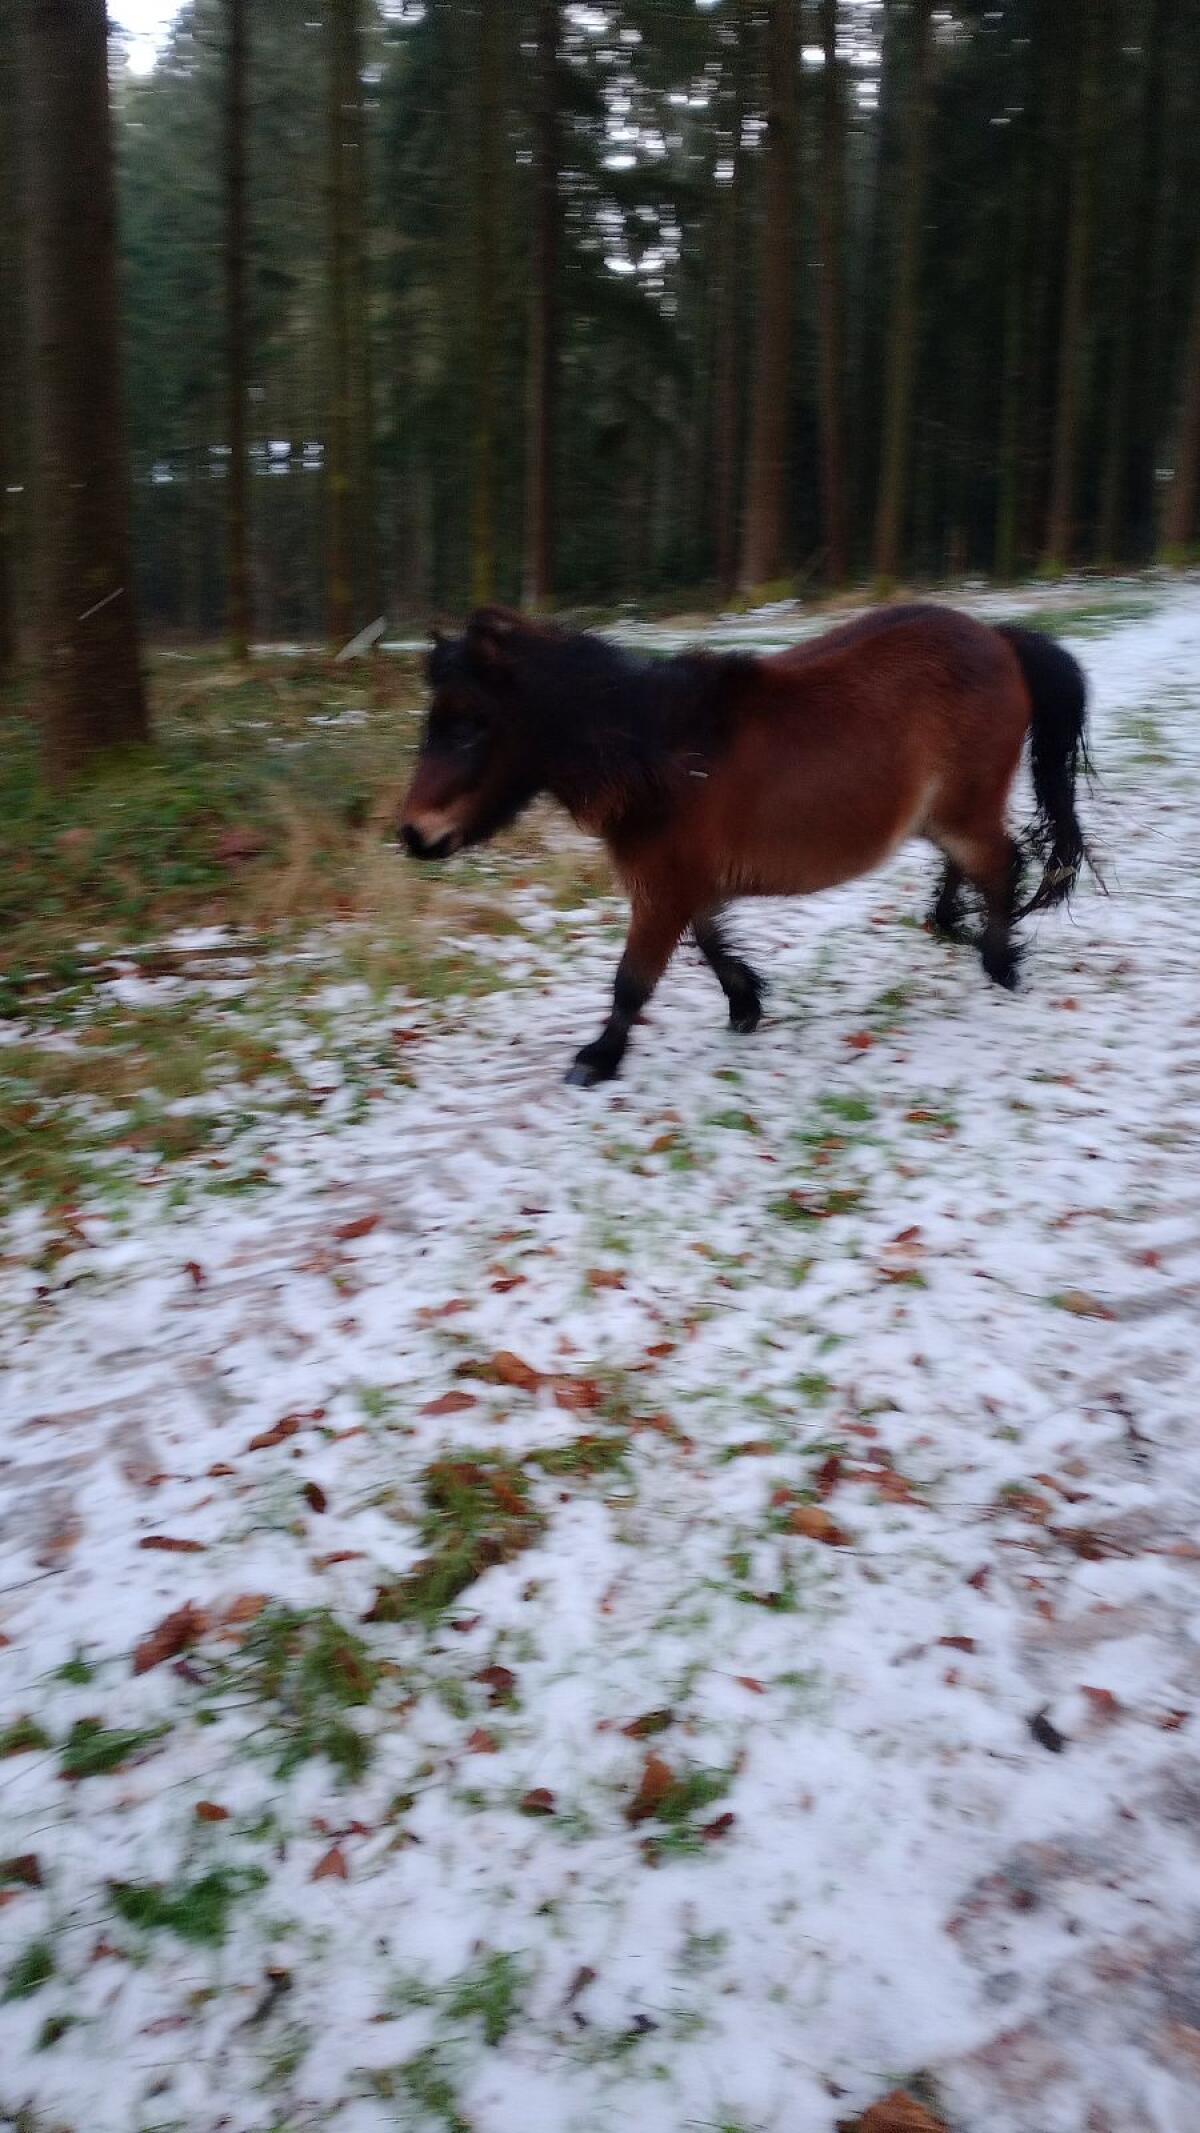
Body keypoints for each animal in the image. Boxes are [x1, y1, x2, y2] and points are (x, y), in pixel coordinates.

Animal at [399, 602, 1094, 1086]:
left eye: (471, 727)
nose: (412, 834)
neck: (658, 753)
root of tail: (999, 637)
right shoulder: (686, 883)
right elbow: (709, 942)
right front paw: (745, 1003)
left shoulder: (664, 888)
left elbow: (632, 981)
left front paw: (599, 1058)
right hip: (940, 816)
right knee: (972, 866)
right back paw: (951, 922)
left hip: (964, 811)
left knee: (1000, 865)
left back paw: (998, 964)